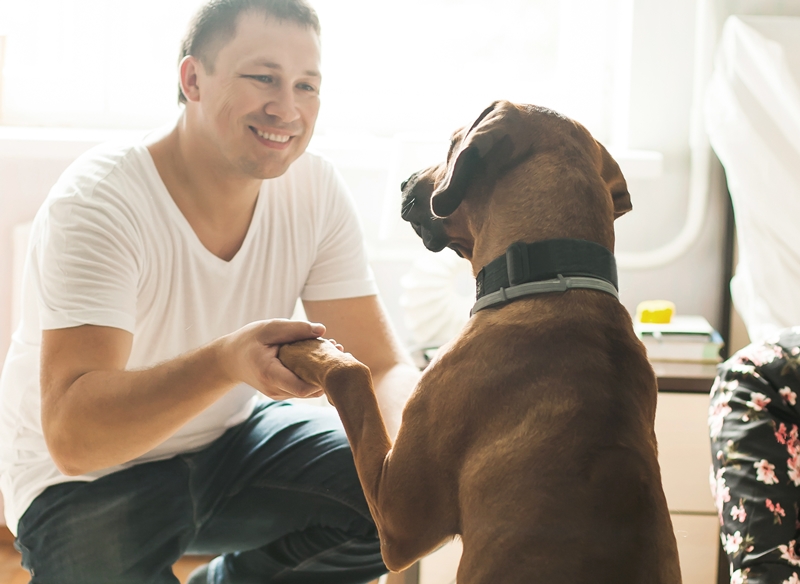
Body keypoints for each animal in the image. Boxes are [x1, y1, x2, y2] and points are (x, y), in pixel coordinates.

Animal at [280, 102, 680, 580]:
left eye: (451, 143)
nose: (405, 179)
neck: (552, 274)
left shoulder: (398, 519)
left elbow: (352, 375)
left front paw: (305, 347)